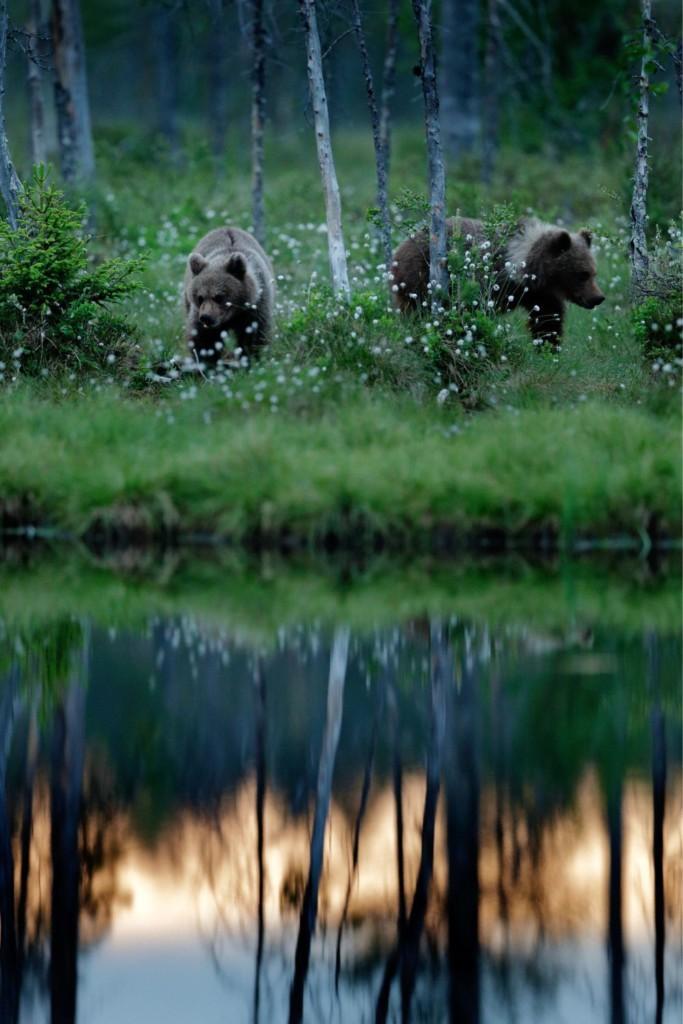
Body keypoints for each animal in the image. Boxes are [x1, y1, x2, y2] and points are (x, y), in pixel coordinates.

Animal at [184, 226, 278, 362]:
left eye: (219, 297)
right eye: (200, 297)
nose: (206, 317)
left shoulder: (256, 306)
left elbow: (255, 334)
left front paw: (252, 358)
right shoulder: (198, 314)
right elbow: (202, 338)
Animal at [393, 216, 606, 344]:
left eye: (594, 272)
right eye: (582, 274)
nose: (598, 298)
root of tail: (402, 245)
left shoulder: (541, 296)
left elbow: (547, 321)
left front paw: (549, 347)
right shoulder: (488, 282)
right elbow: (469, 311)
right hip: (419, 277)